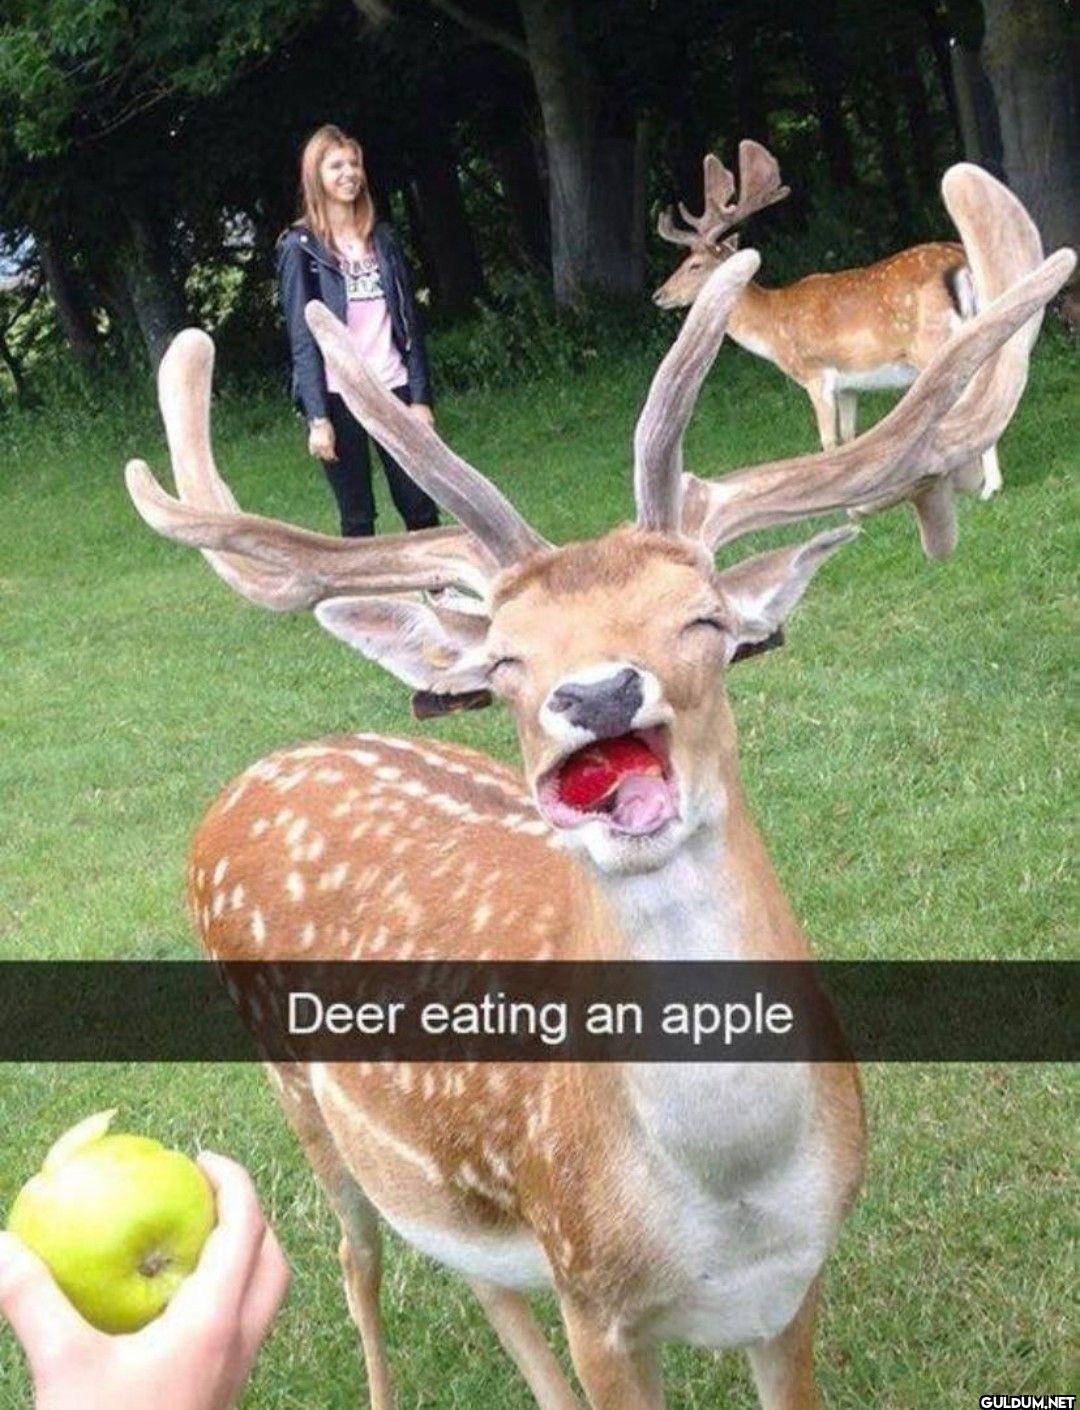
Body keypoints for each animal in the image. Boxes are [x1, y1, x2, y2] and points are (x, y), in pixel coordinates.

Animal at [654, 140, 1005, 500]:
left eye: (695, 265)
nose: (659, 295)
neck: (773, 326)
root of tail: (962, 263)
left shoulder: (816, 373)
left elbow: (829, 441)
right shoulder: (849, 383)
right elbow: (850, 439)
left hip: (934, 344)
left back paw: (989, 487)